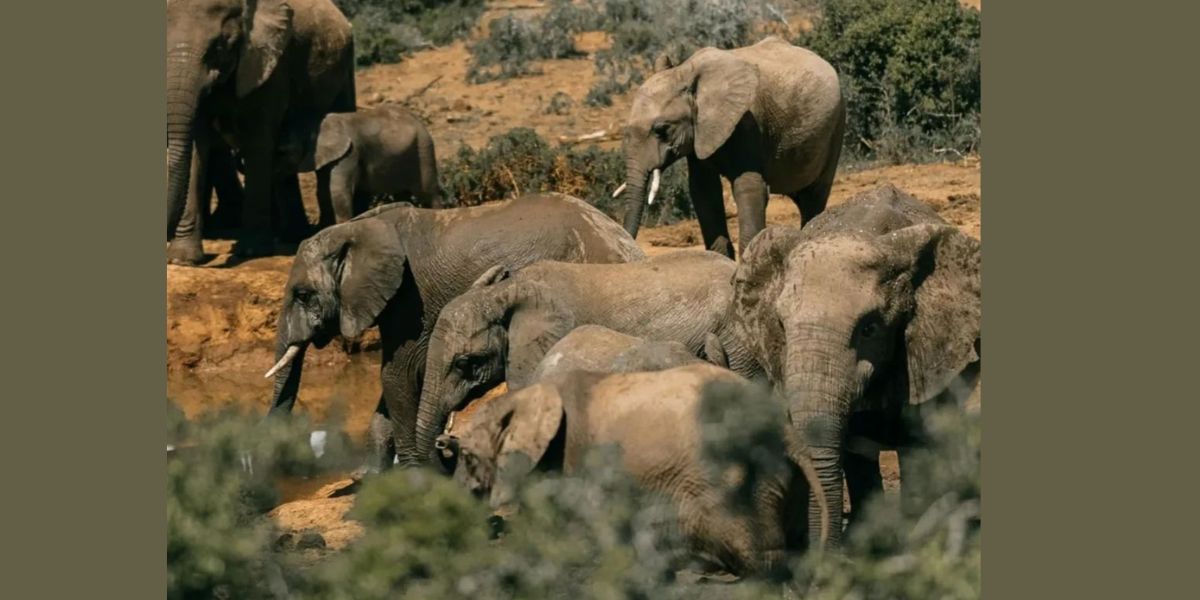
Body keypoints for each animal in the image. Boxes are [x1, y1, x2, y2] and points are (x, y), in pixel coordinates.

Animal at [166, 0, 356, 265]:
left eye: (219, 46)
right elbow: (195, 145)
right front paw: (182, 259)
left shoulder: (269, 64)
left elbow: (259, 140)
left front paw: (251, 252)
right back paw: (290, 234)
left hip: (345, 68)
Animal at [265, 193, 646, 472]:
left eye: (302, 294)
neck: (358, 227)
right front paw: (371, 474)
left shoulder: (410, 301)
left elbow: (397, 376)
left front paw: (413, 474)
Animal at [277, 104, 447, 226]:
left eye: (282, 152)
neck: (314, 125)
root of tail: (419, 122)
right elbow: (323, 192)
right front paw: (324, 228)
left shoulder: (350, 153)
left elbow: (338, 190)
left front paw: (341, 227)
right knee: (403, 193)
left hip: (423, 148)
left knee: (428, 192)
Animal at [616, 36, 845, 259]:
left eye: (661, 130)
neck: (686, 73)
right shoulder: (701, 133)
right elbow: (704, 190)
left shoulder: (748, 122)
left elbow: (749, 187)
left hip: (836, 127)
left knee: (814, 196)